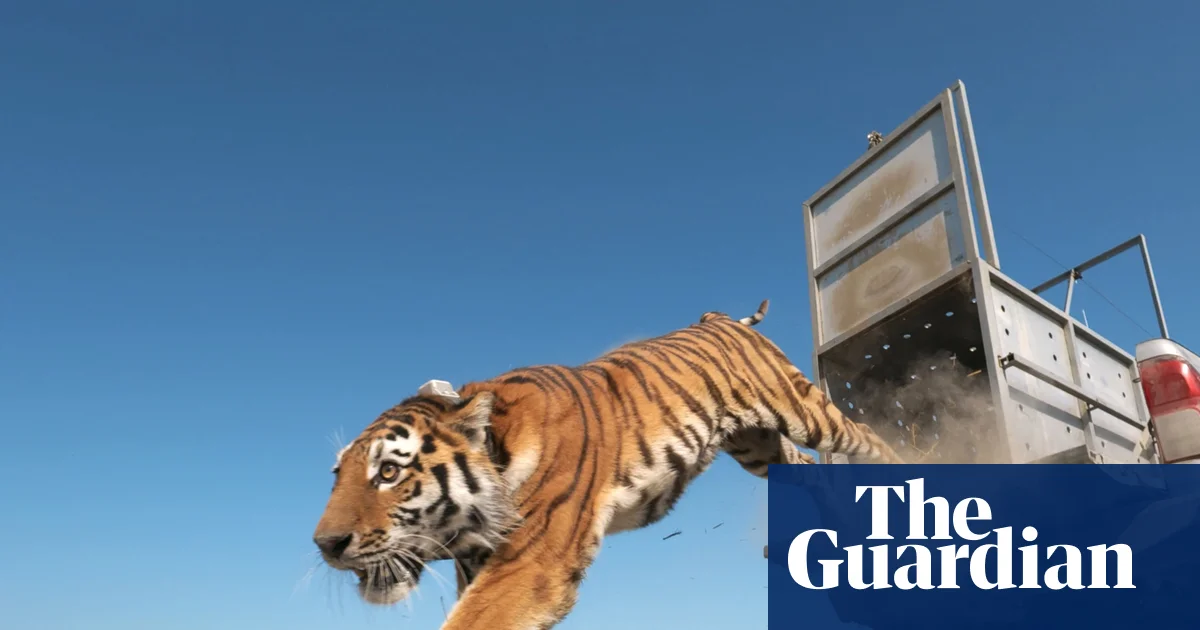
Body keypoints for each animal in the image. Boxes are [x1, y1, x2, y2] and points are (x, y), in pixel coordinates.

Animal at [312, 299, 903, 630]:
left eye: (389, 472)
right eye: (339, 475)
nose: (326, 545)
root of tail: (718, 318)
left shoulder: (532, 563)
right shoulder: (480, 569)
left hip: (800, 409)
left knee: (866, 439)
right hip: (758, 447)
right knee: (809, 468)